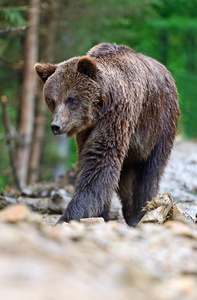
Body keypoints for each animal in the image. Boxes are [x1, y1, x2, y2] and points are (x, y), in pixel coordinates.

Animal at [34, 42, 179, 225]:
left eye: (70, 99)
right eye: (52, 100)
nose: (56, 126)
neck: (99, 108)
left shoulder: (118, 114)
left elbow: (100, 158)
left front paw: (69, 216)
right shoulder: (85, 129)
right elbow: (92, 161)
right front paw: (100, 213)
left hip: (160, 124)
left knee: (150, 170)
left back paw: (140, 213)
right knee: (125, 178)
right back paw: (130, 211)